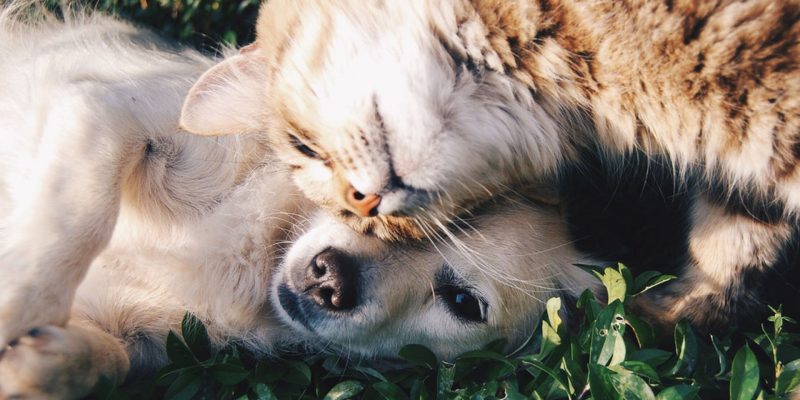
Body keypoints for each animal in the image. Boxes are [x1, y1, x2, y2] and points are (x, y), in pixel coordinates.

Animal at [0, 6, 600, 400]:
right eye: (363, 200)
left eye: (463, 304)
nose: (329, 278)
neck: (258, 253)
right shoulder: (105, 109)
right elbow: (76, 216)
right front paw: (18, 303)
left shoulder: (143, 341)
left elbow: (111, 360)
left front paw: (38, 365)